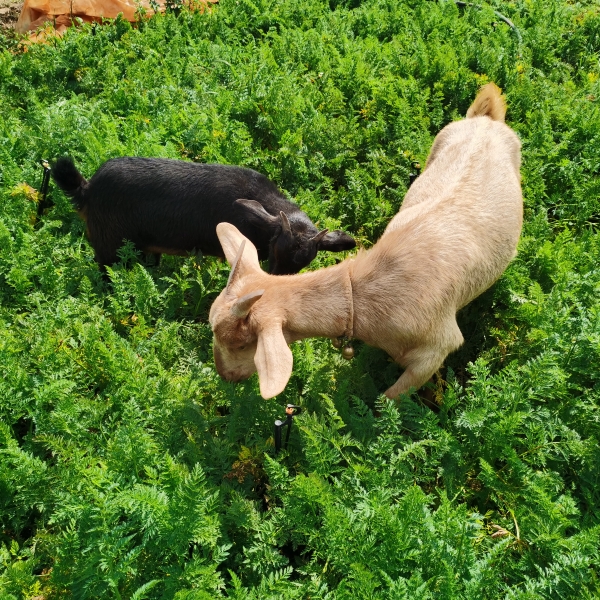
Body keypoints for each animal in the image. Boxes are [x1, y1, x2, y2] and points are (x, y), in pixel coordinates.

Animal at [209, 83, 523, 400]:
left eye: (241, 344)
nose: (224, 375)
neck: (363, 294)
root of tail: (486, 119)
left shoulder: (436, 348)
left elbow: (389, 401)